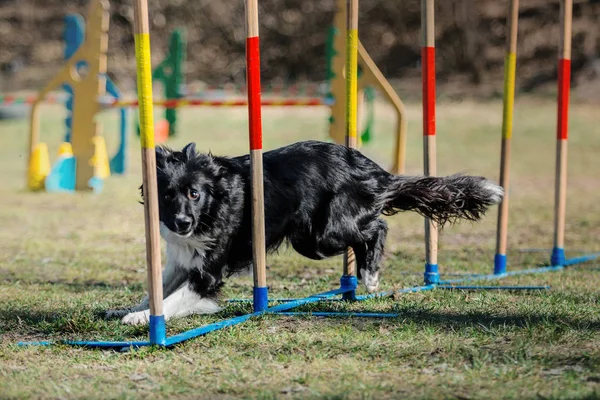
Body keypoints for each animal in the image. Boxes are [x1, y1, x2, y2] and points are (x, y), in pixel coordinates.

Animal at [106, 141, 502, 324]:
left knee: (376, 227)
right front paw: (132, 308)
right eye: (167, 195)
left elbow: (176, 298)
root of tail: (372, 170)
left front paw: (142, 319)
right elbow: (158, 288)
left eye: (194, 194)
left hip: (319, 236)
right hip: (312, 237)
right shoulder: (183, 259)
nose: (181, 223)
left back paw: (370, 274)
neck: (212, 206)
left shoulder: (209, 272)